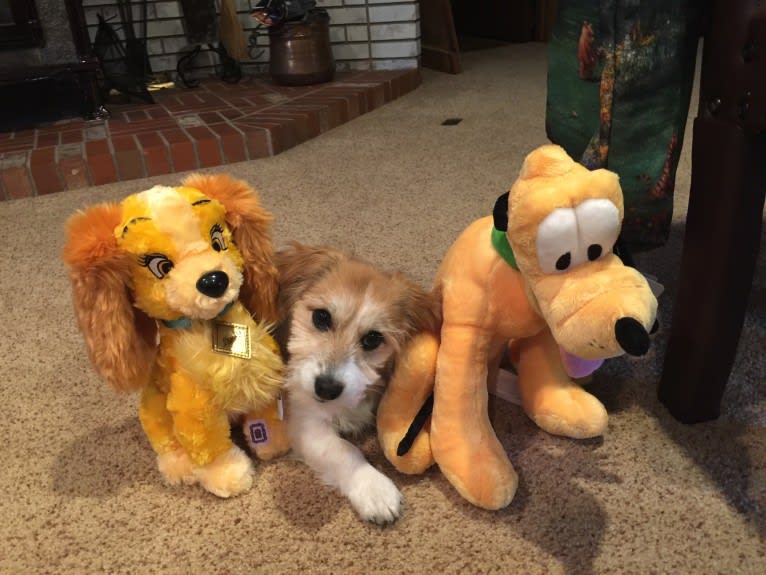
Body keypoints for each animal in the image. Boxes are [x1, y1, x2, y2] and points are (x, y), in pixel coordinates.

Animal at [280, 244, 440, 528]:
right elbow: (344, 450)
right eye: (321, 317)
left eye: (373, 339)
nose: (326, 388)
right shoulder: (304, 418)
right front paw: (373, 487)